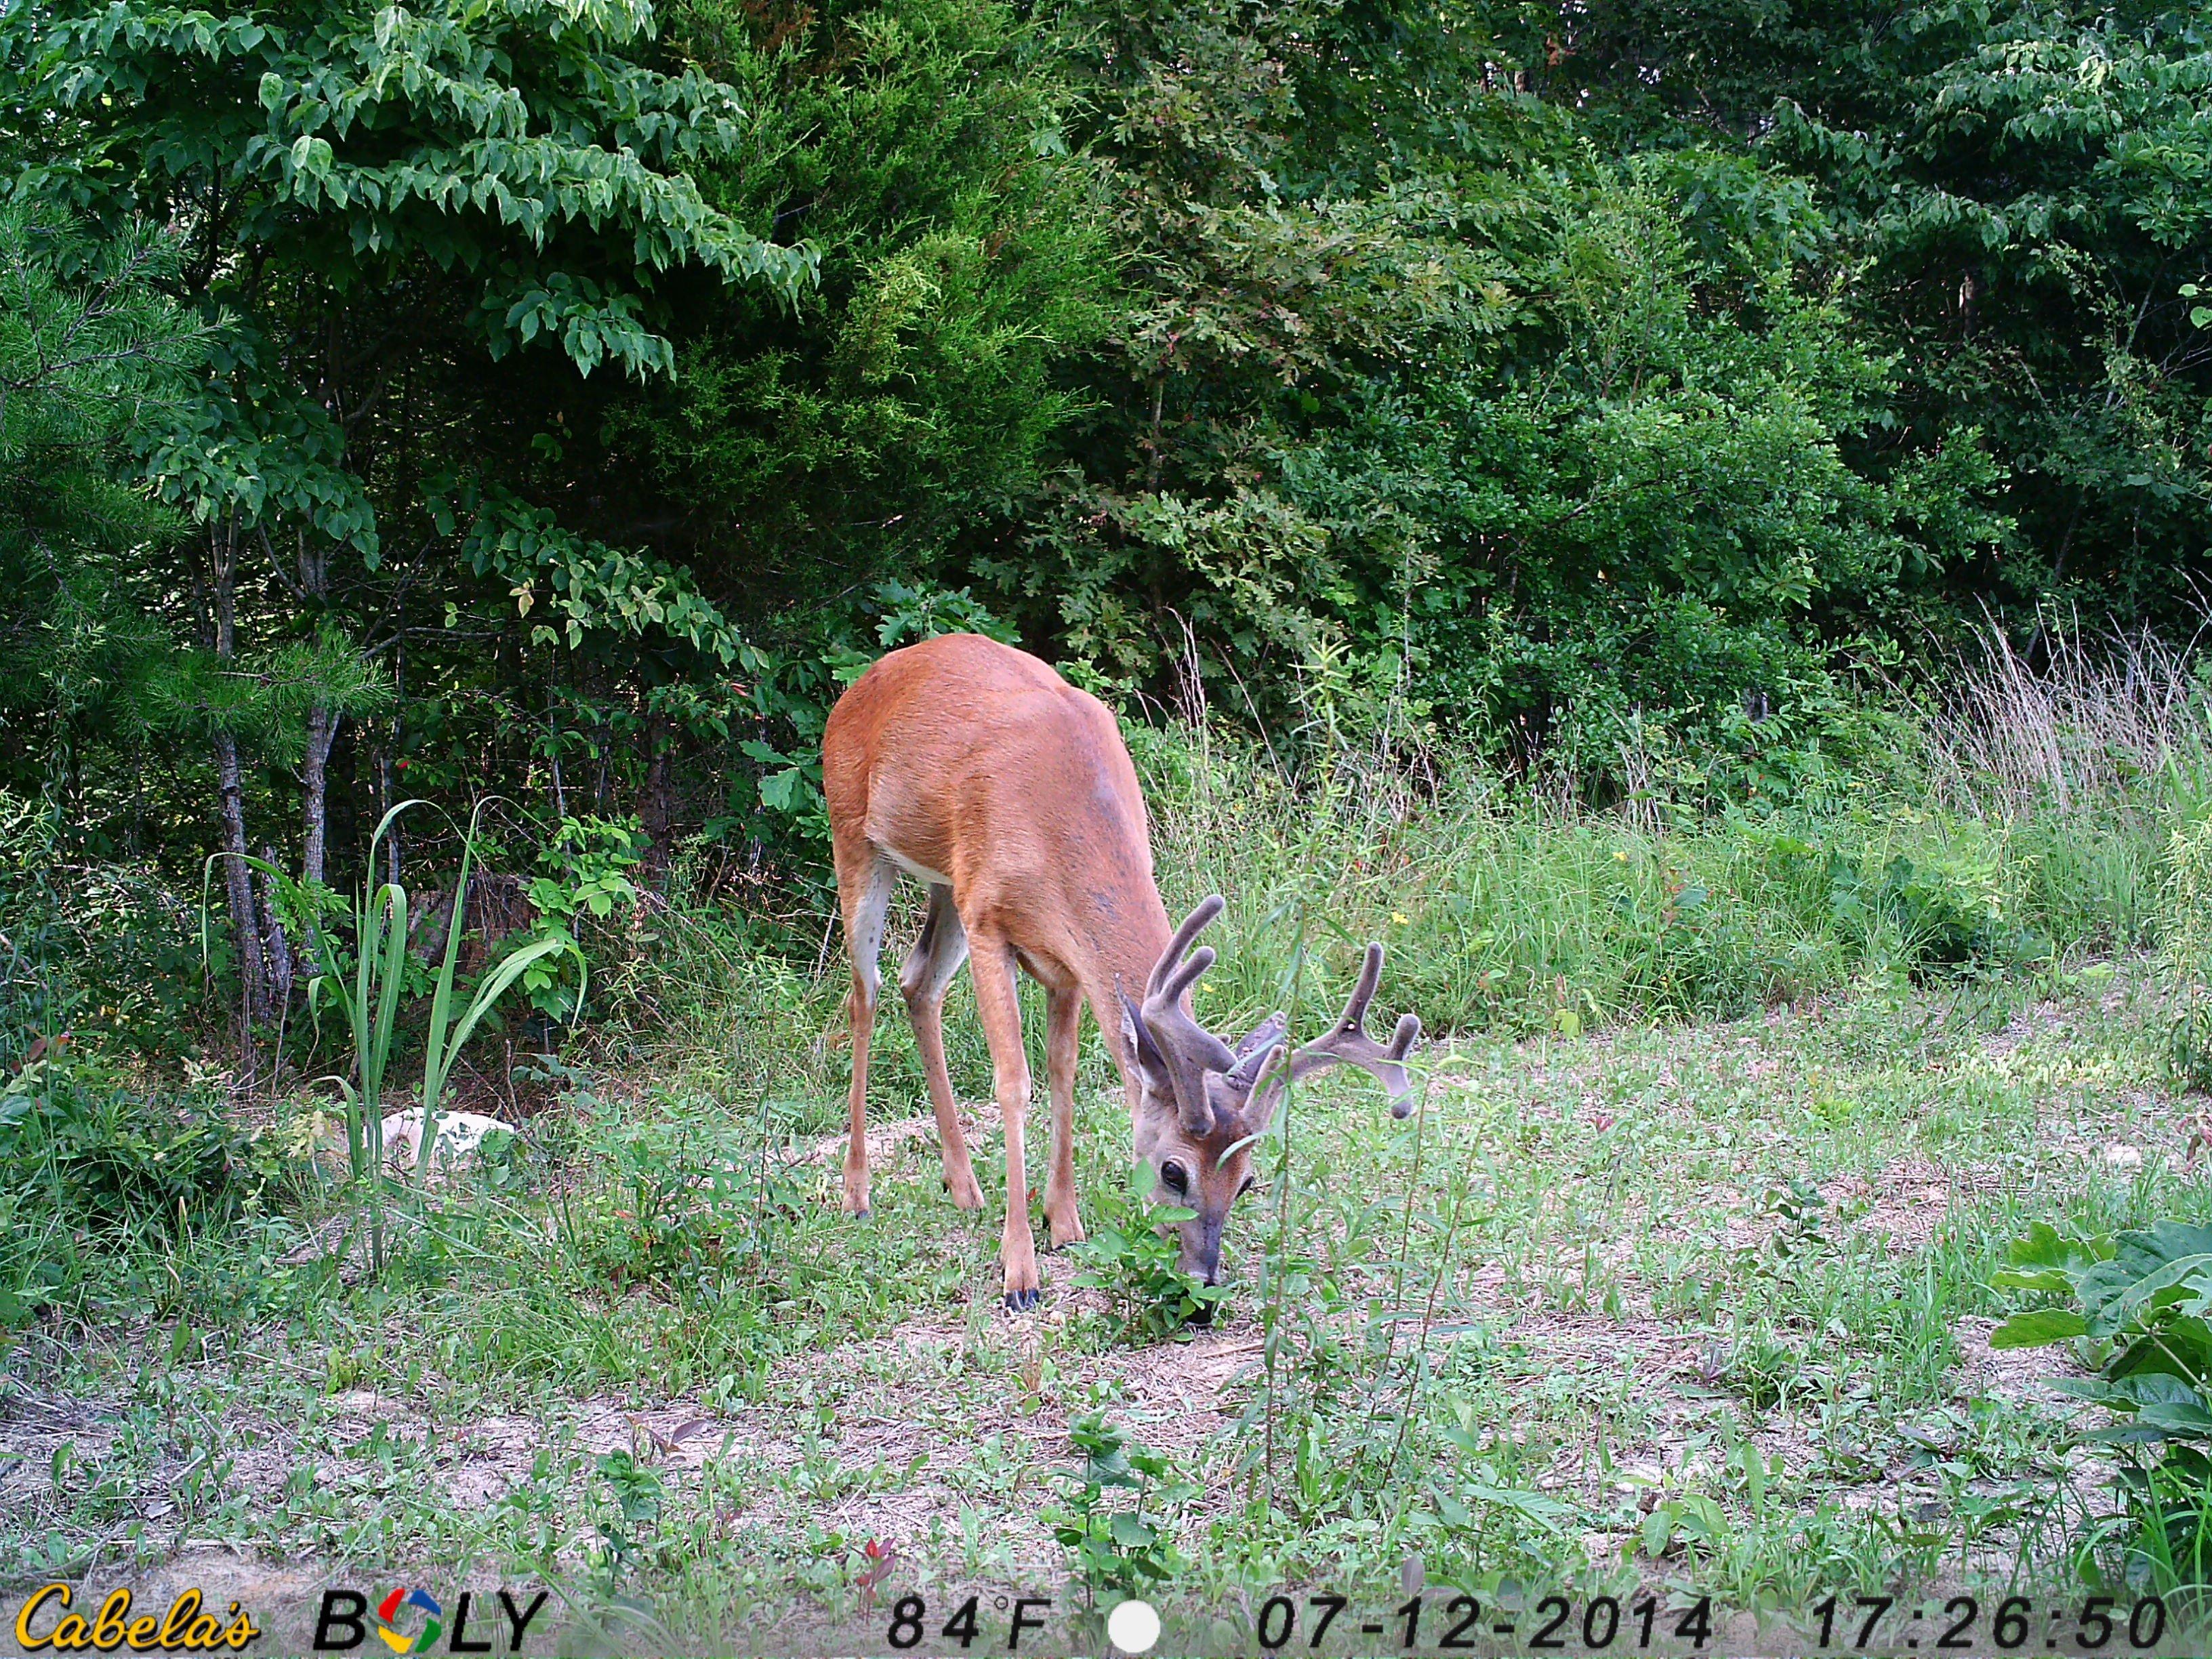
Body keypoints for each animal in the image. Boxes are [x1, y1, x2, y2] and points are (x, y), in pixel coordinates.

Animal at [823, 637, 1425, 1309]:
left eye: (1247, 1181)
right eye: (1173, 1170)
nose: (1201, 1288)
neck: (1059, 816)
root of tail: (860, 685)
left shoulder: (1064, 961)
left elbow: (1064, 1075)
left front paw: (1066, 1224)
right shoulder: (988, 921)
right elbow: (1015, 1082)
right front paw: (1020, 1272)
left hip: (944, 881)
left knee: (918, 981)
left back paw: (964, 1186)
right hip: (856, 840)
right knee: (866, 995)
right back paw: (856, 1193)